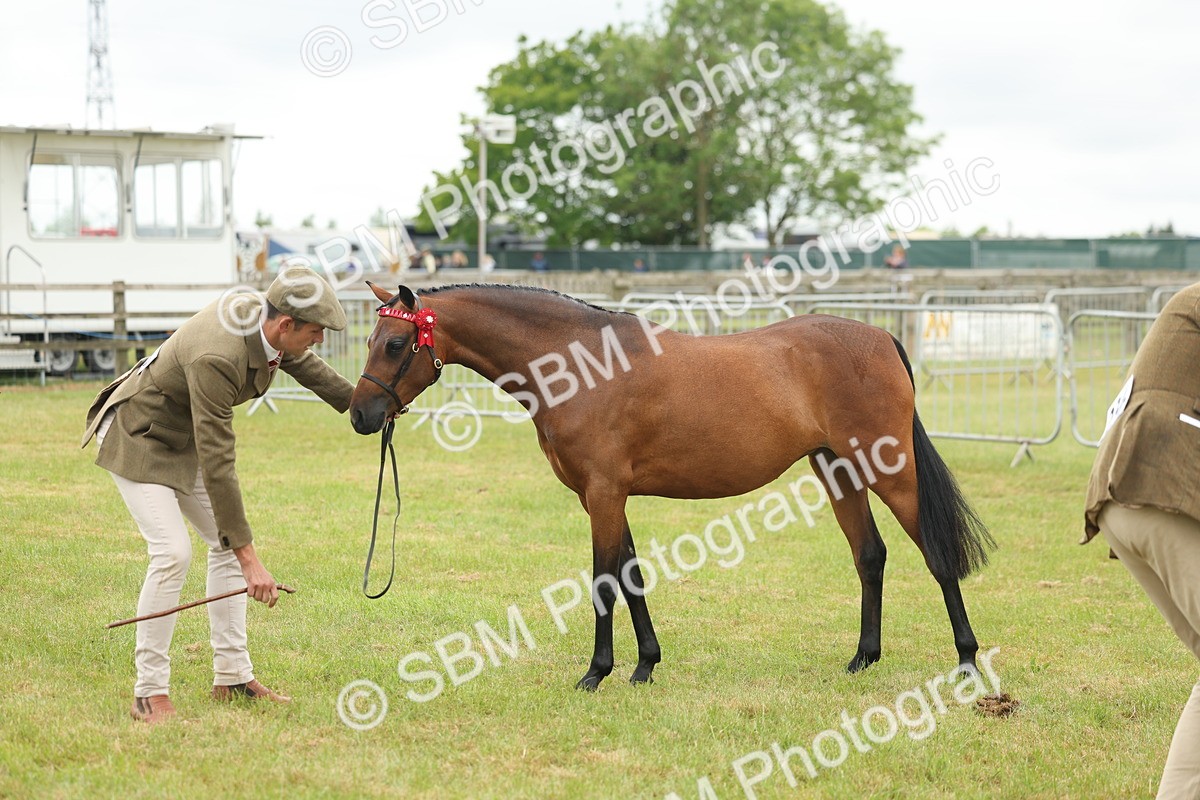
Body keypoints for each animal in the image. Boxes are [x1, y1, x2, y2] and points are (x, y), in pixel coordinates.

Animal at [349, 282, 994, 690]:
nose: (359, 415)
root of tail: (880, 338)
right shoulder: (606, 496)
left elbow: (603, 580)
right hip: (838, 469)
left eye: (396, 344)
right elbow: (631, 575)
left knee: (936, 553)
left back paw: (966, 662)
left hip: (889, 468)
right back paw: (863, 658)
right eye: (370, 340)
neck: (582, 365)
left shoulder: (604, 493)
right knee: (870, 555)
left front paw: (596, 673)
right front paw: (644, 667)